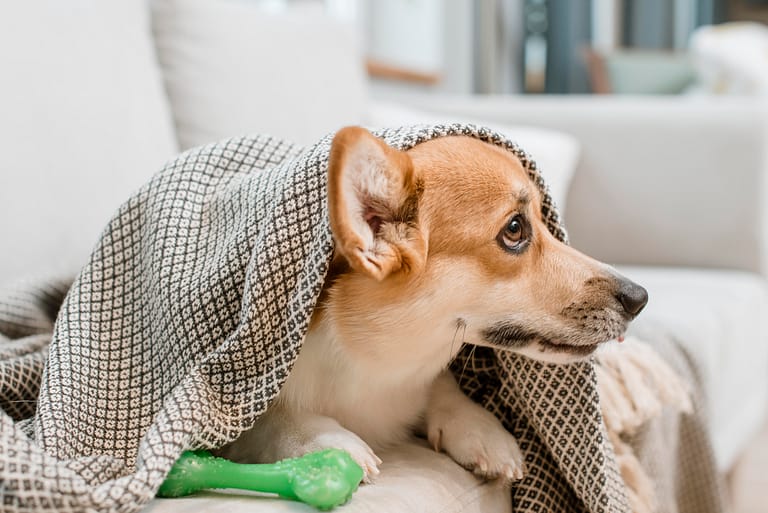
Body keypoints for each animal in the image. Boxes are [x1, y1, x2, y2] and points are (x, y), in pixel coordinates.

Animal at [222, 127, 648, 484]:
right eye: (514, 230)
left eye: (545, 221)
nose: (639, 298)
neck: (373, 363)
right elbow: (269, 419)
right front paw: (326, 442)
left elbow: (443, 387)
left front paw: (481, 430)